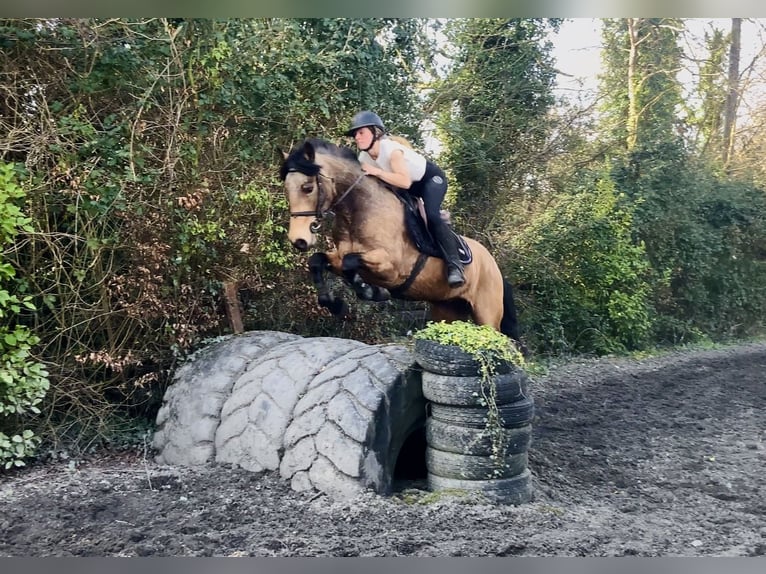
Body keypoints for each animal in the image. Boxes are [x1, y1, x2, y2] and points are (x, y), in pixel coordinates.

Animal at [279, 137, 521, 343]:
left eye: (307, 188)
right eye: (286, 190)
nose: (298, 240)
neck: (358, 212)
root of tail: (494, 266)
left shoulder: (392, 268)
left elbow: (350, 263)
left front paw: (371, 292)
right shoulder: (340, 256)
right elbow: (318, 261)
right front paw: (335, 304)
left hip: (486, 313)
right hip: (448, 309)